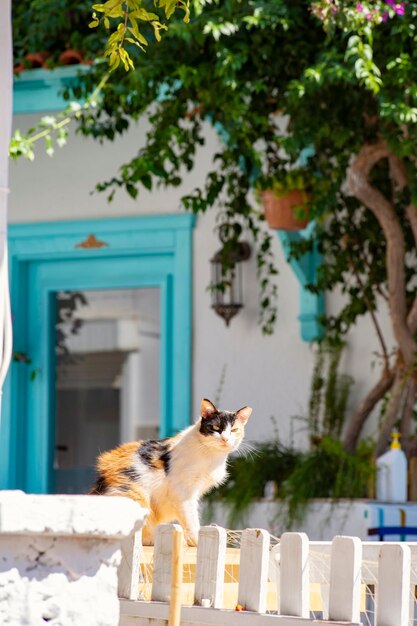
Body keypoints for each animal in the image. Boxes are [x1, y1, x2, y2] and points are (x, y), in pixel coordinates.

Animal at [89, 398, 250, 544]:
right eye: (216, 427)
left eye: (234, 430)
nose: (225, 439)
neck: (211, 455)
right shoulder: (183, 492)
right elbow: (191, 518)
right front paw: (196, 540)